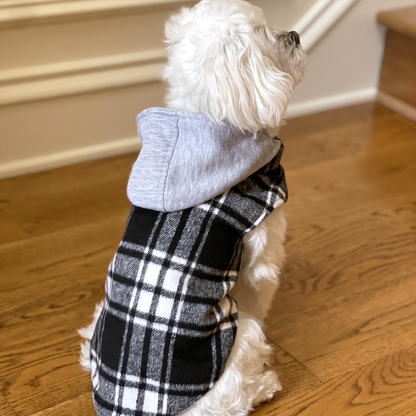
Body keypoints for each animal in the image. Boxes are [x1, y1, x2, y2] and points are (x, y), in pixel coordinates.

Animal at [79, 1, 306, 414]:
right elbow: (261, 288)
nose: (296, 35)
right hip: (242, 338)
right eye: (264, 33)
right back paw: (265, 385)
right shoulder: (263, 249)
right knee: (237, 396)